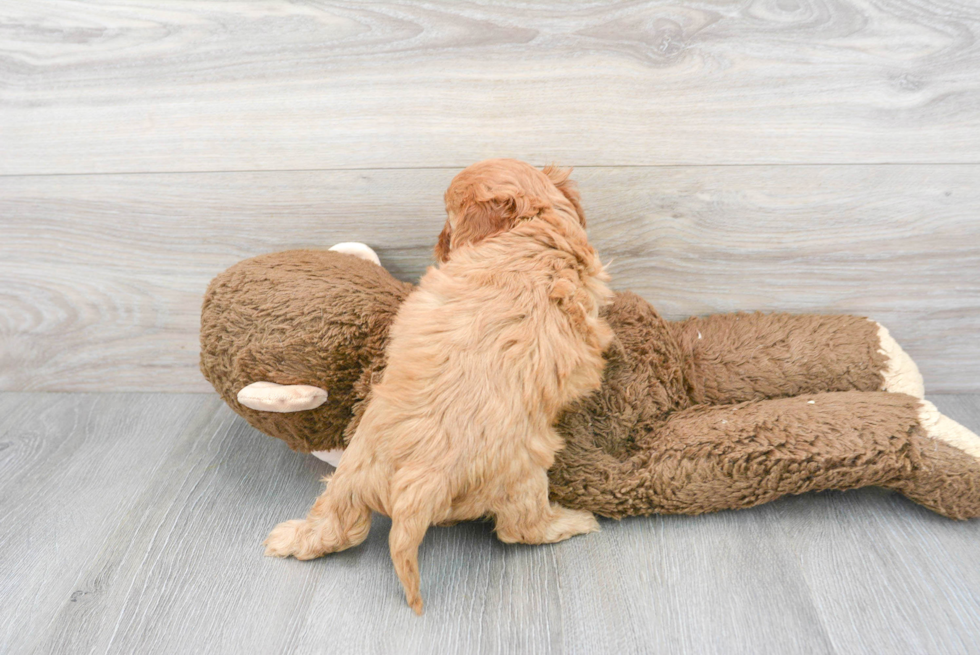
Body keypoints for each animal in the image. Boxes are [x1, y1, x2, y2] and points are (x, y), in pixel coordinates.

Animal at [262, 159, 612, 616]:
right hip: (527, 470)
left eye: (447, 220)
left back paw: (290, 539)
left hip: (353, 472)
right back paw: (576, 521)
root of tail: (422, 480)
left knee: (338, 523)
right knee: (521, 530)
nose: (438, 244)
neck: (534, 222)